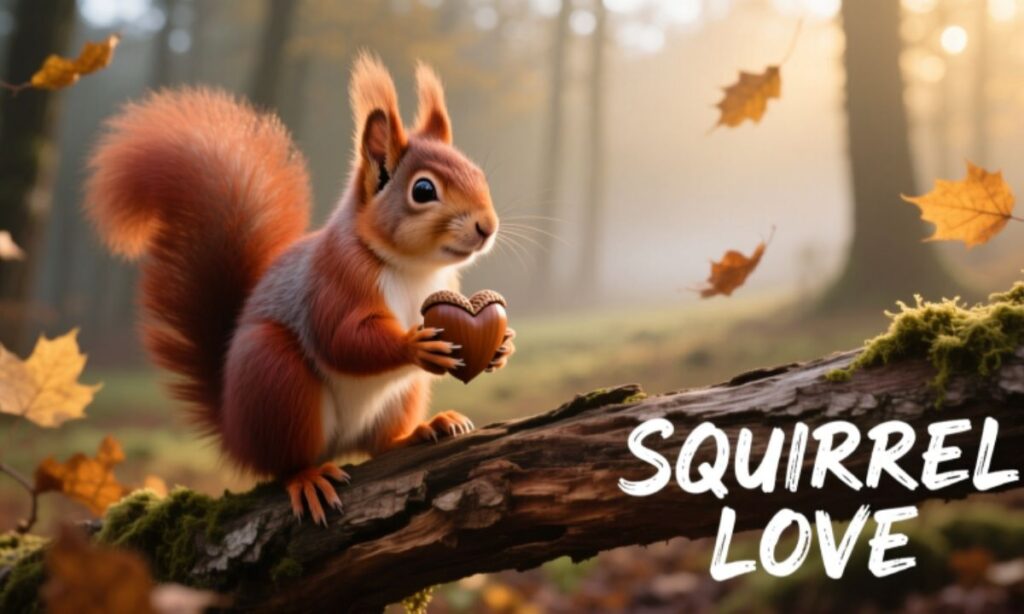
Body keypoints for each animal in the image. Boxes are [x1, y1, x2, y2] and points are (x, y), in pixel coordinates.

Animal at [84, 53, 515, 524]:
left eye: (478, 173)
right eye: (423, 189)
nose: (487, 225)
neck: (412, 269)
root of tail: (235, 430)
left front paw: (503, 345)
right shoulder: (335, 282)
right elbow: (342, 339)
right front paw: (413, 346)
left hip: (401, 396)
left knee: (380, 443)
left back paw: (425, 428)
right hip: (278, 380)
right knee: (285, 463)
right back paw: (307, 478)